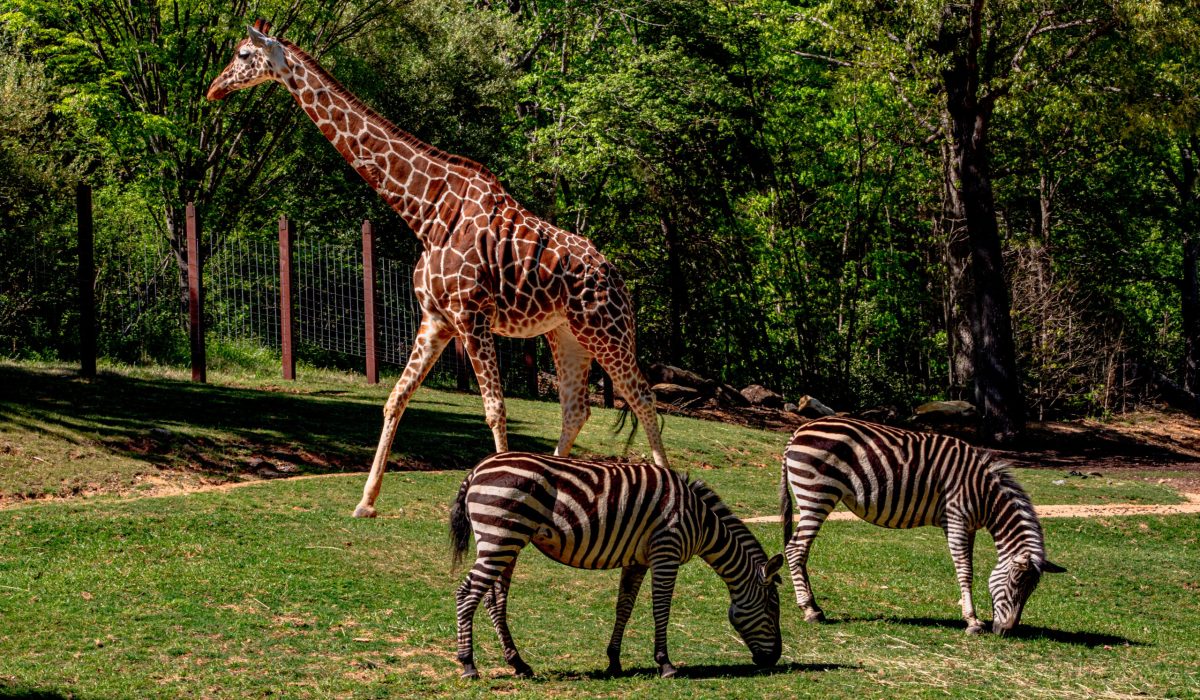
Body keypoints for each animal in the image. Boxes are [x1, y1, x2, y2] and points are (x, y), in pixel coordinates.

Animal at [207, 21, 670, 517]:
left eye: (242, 54)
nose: (214, 88)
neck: (425, 211)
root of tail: (619, 279)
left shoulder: (471, 315)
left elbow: (494, 409)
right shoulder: (436, 319)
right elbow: (395, 399)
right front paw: (365, 502)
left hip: (605, 329)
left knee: (643, 397)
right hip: (566, 334)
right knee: (576, 408)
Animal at [449, 452, 783, 679]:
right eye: (772, 607)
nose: (775, 659)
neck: (700, 520)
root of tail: (476, 470)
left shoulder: (637, 561)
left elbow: (625, 607)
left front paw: (614, 661)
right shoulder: (666, 551)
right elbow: (661, 608)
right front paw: (665, 664)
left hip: (506, 542)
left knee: (493, 600)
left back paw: (518, 663)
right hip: (500, 538)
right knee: (466, 595)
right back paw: (468, 664)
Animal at [780, 416, 1065, 635]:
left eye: (1030, 591)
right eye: (1016, 584)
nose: (1005, 631)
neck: (985, 494)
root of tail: (799, 431)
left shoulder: (969, 526)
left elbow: (968, 567)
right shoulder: (956, 518)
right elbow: (965, 570)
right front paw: (972, 621)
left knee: (799, 550)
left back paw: (814, 607)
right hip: (817, 494)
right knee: (795, 549)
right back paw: (809, 610)